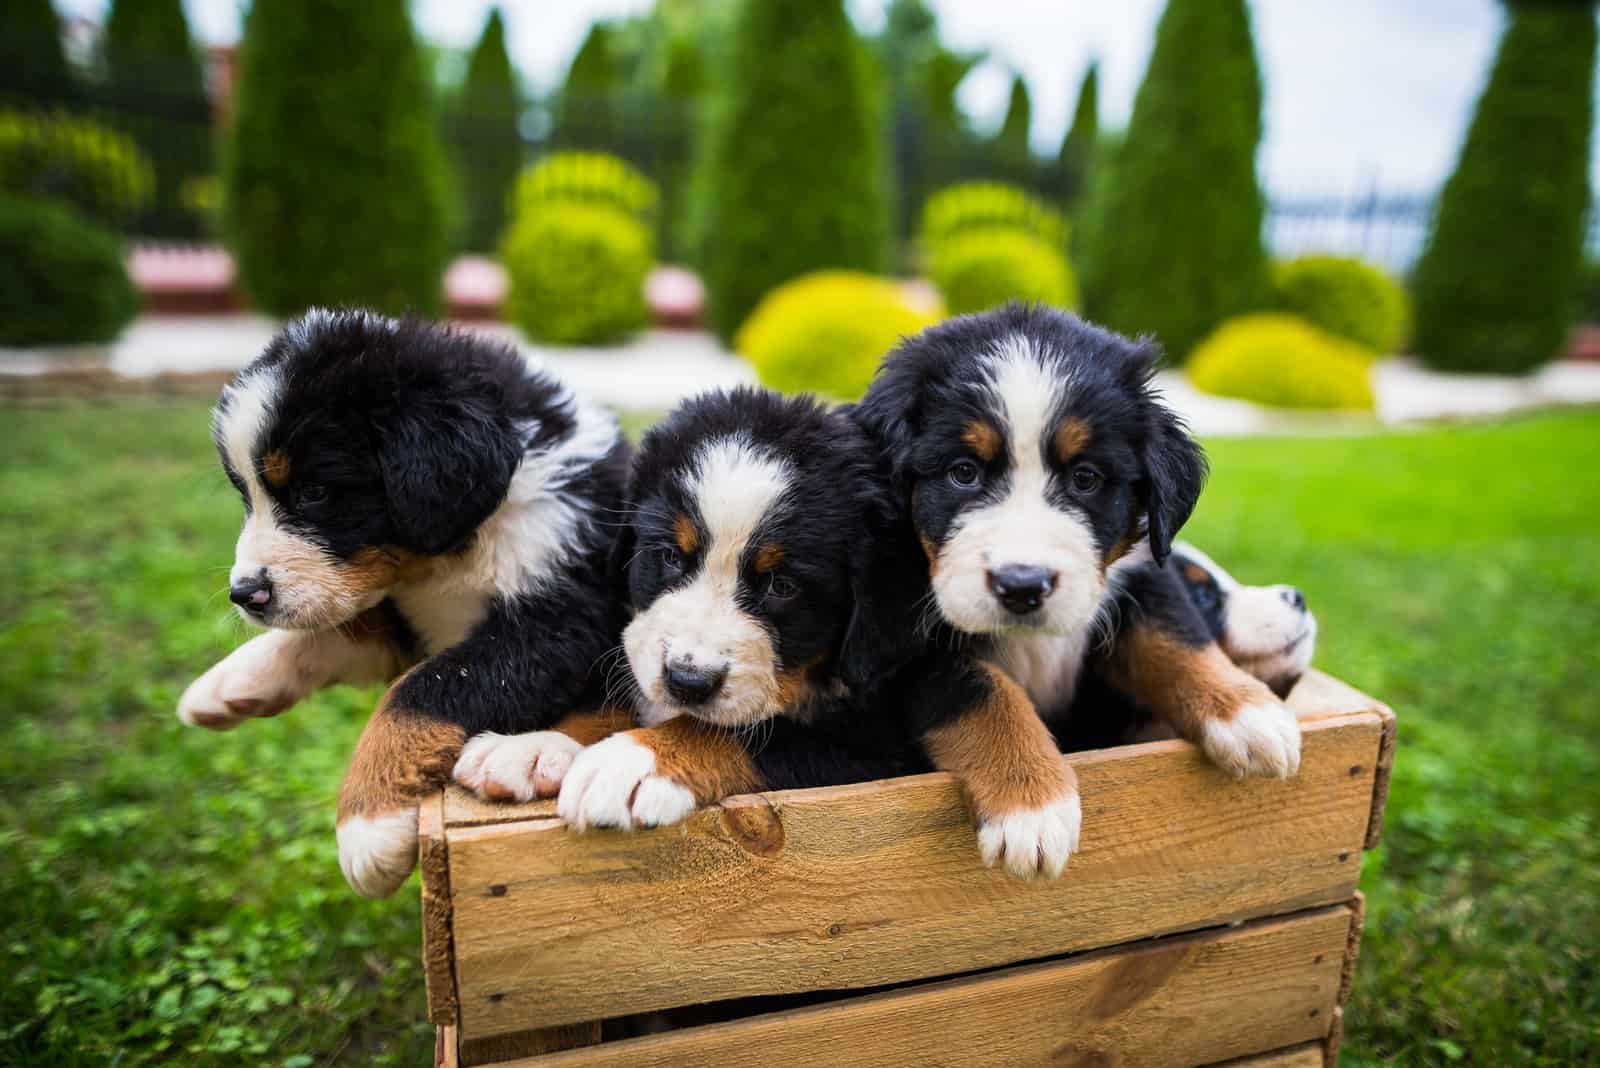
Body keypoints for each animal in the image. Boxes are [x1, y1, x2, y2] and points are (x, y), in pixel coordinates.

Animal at [175, 310, 624, 901]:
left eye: (316, 492)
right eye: (248, 497)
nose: (245, 595)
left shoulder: (561, 620)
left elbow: (418, 692)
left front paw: (366, 827)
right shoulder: (408, 620)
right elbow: (332, 637)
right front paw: (229, 683)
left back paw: (523, 754)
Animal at [454, 388, 928, 824]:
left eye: (782, 586)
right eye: (670, 556)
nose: (687, 681)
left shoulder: (879, 743)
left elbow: (738, 732)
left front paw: (632, 764)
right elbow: (608, 703)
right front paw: (530, 747)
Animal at [857, 300, 1305, 876]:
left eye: (1086, 478)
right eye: (963, 473)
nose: (1021, 586)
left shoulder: (1140, 575)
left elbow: (1176, 639)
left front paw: (1247, 712)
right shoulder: (914, 641)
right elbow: (987, 693)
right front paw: (1031, 806)